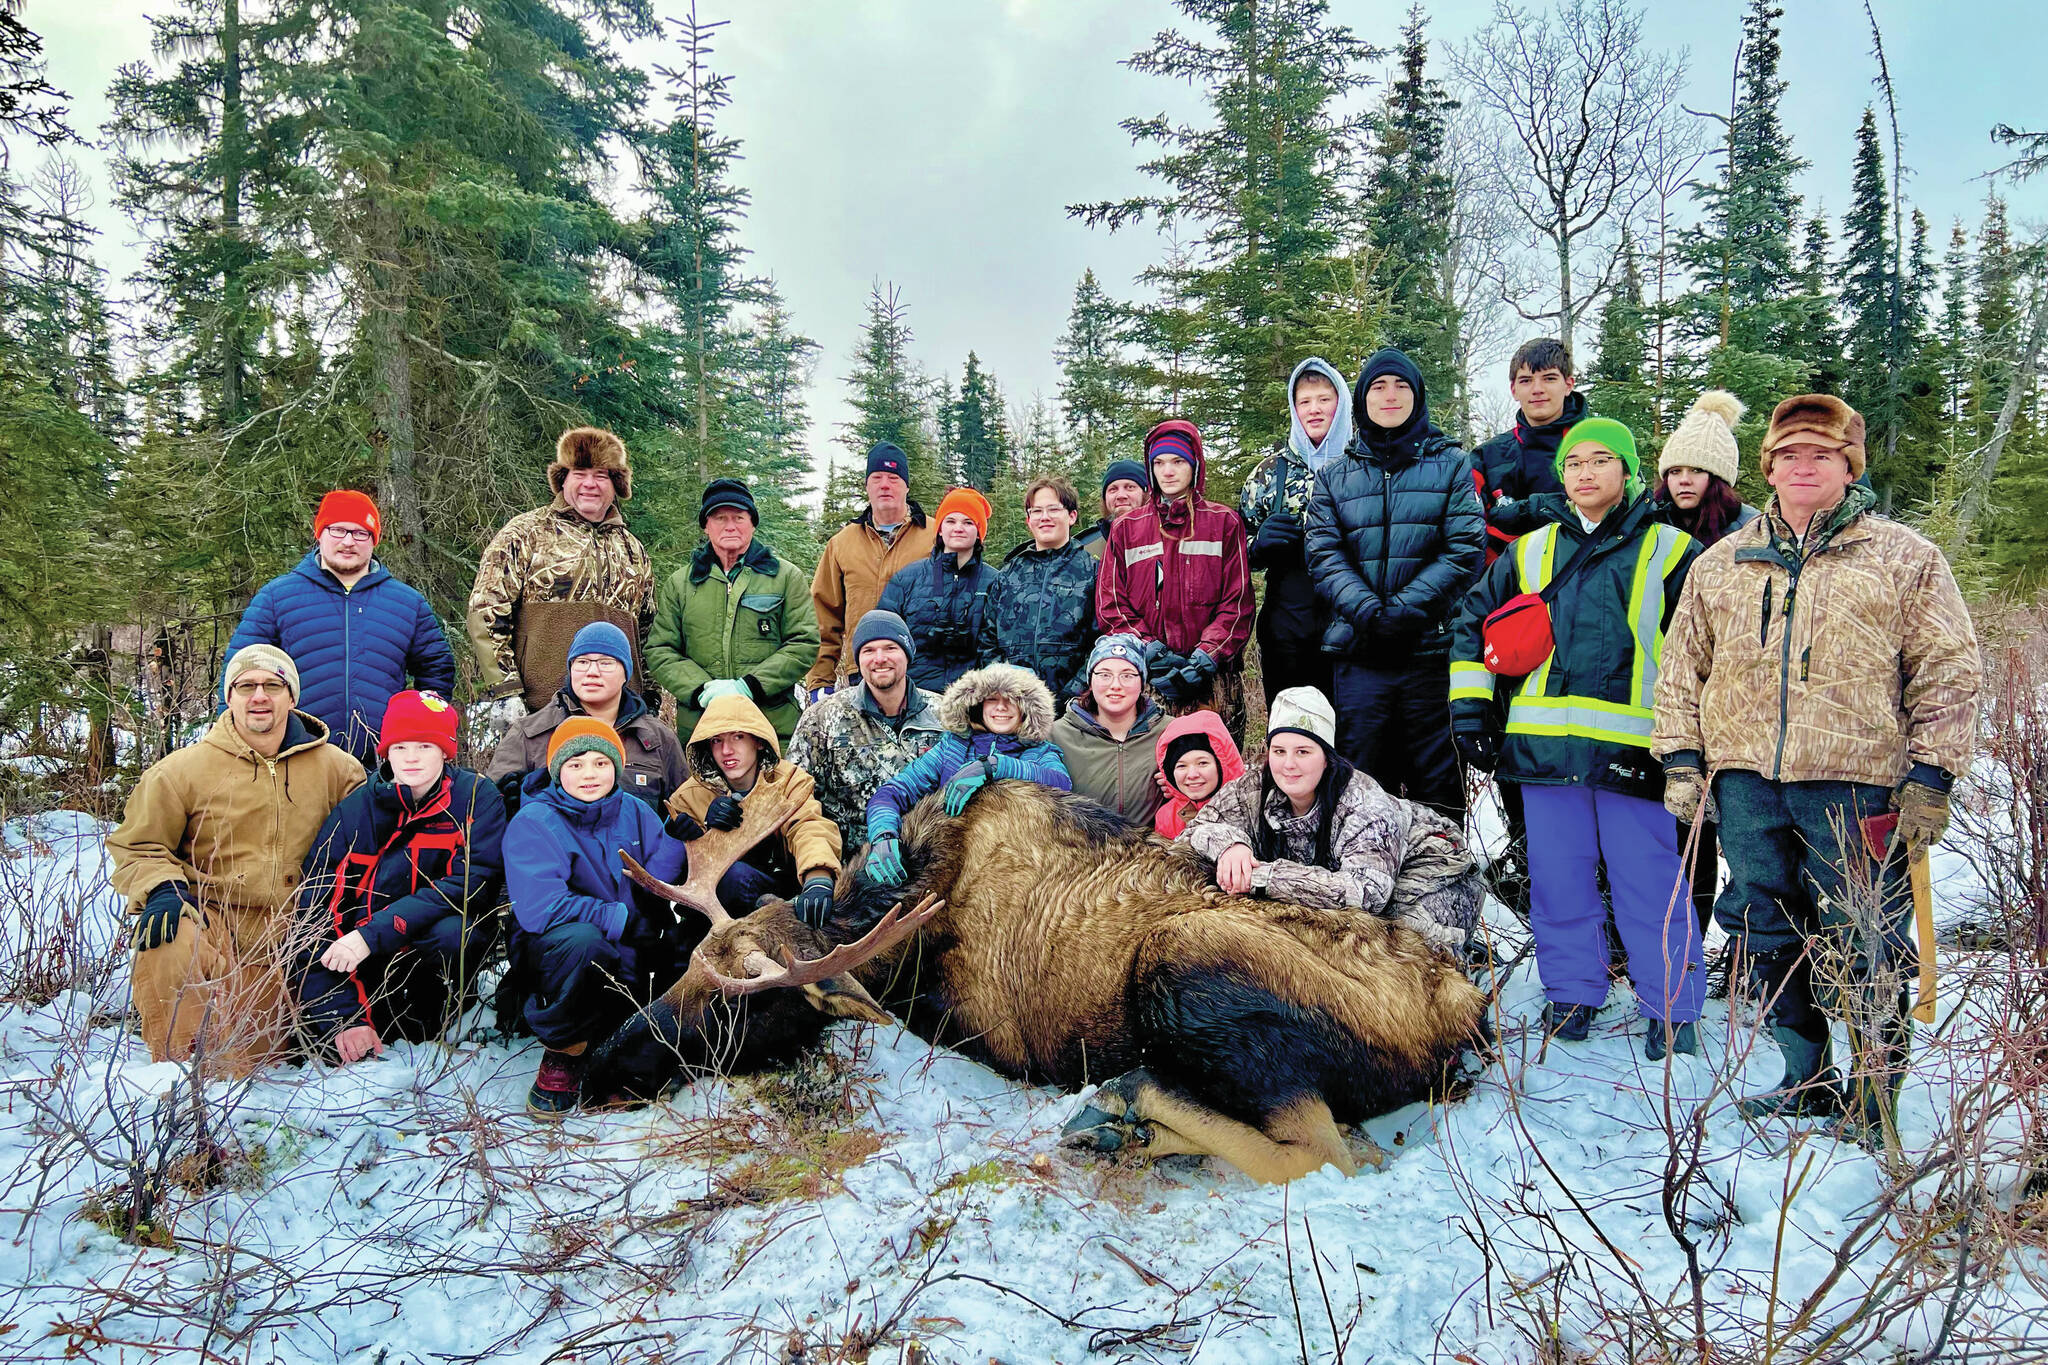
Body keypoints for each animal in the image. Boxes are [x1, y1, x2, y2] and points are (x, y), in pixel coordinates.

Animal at [589, 777, 1490, 1186]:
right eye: (683, 971)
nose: (601, 1059)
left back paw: (1123, 1104)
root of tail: (1467, 1011)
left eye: (737, 1003)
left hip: (1182, 958)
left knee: (1324, 1152)